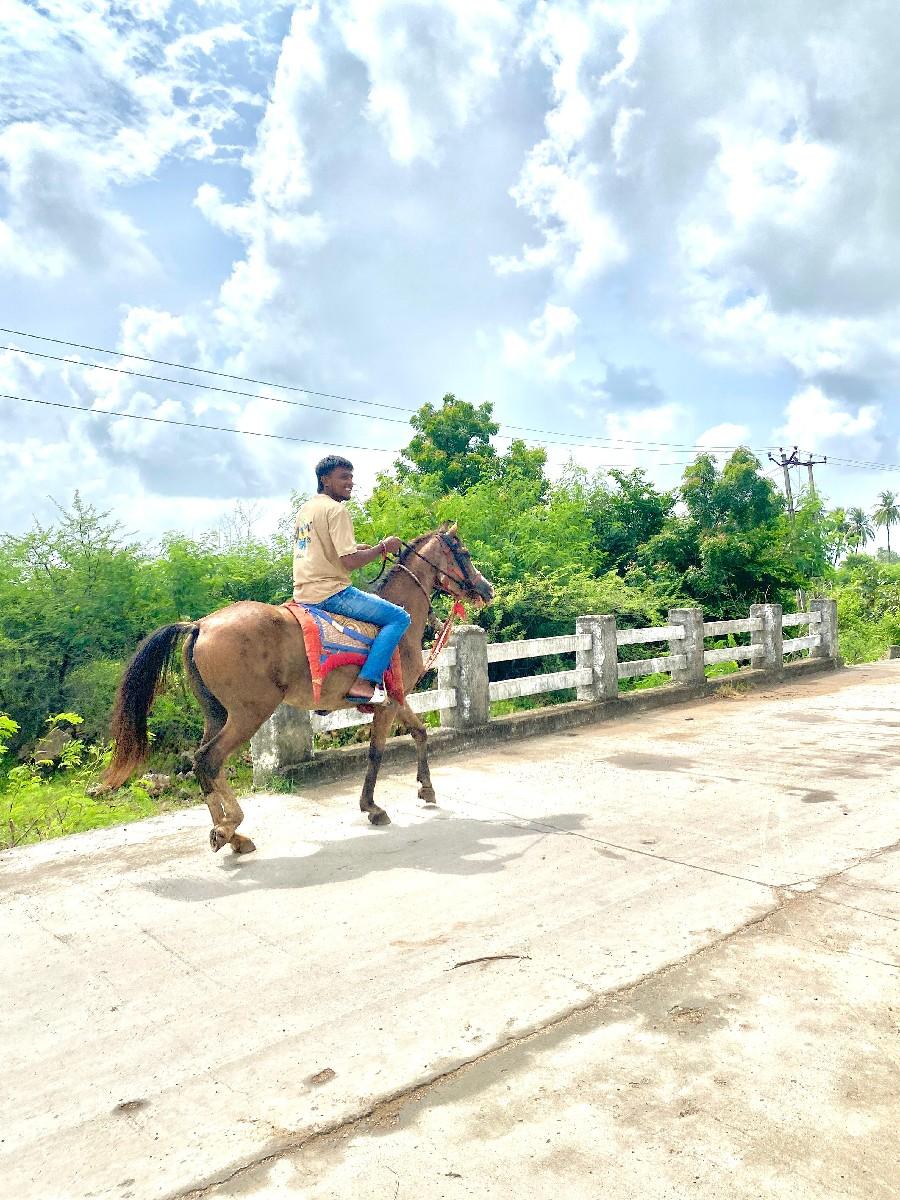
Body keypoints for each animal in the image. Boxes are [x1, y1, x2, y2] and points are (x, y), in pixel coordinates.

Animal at [103, 522, 494, 852]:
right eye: (464, 552)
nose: (486, 589)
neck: (402, 617)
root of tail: (201, 625)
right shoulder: (388, 703)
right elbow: (376, 753)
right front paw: (372, 807)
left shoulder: (396, 699)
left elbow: (420, 731)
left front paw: (426, 788)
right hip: (249, 714)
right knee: (209, 760)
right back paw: (230, 827)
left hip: (217, 713)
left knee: (204, 763)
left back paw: (231, 836)